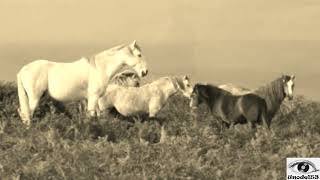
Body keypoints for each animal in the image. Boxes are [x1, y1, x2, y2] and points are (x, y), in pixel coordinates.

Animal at [16, 40, 148, 125]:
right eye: (139, 55)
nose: (145, 72)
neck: (99, 68)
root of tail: (23, 70)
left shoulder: (94, 100)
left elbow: (97, 116)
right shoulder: (93, 97)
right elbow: (90, 116)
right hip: (34, 98)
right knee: (27, 114)